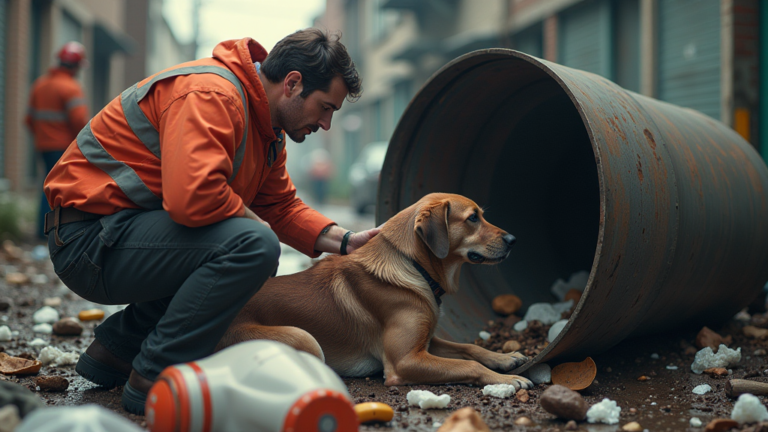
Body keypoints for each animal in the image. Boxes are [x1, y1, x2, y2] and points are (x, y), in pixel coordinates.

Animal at [219, 194, 532, 390]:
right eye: (472, 218)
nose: (514, 239)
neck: (413, 264)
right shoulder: (406, 360)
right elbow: (469, 365)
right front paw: (506, 379)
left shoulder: (426, 342)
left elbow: (469, 348)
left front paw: (504, 358)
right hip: (303, 337)